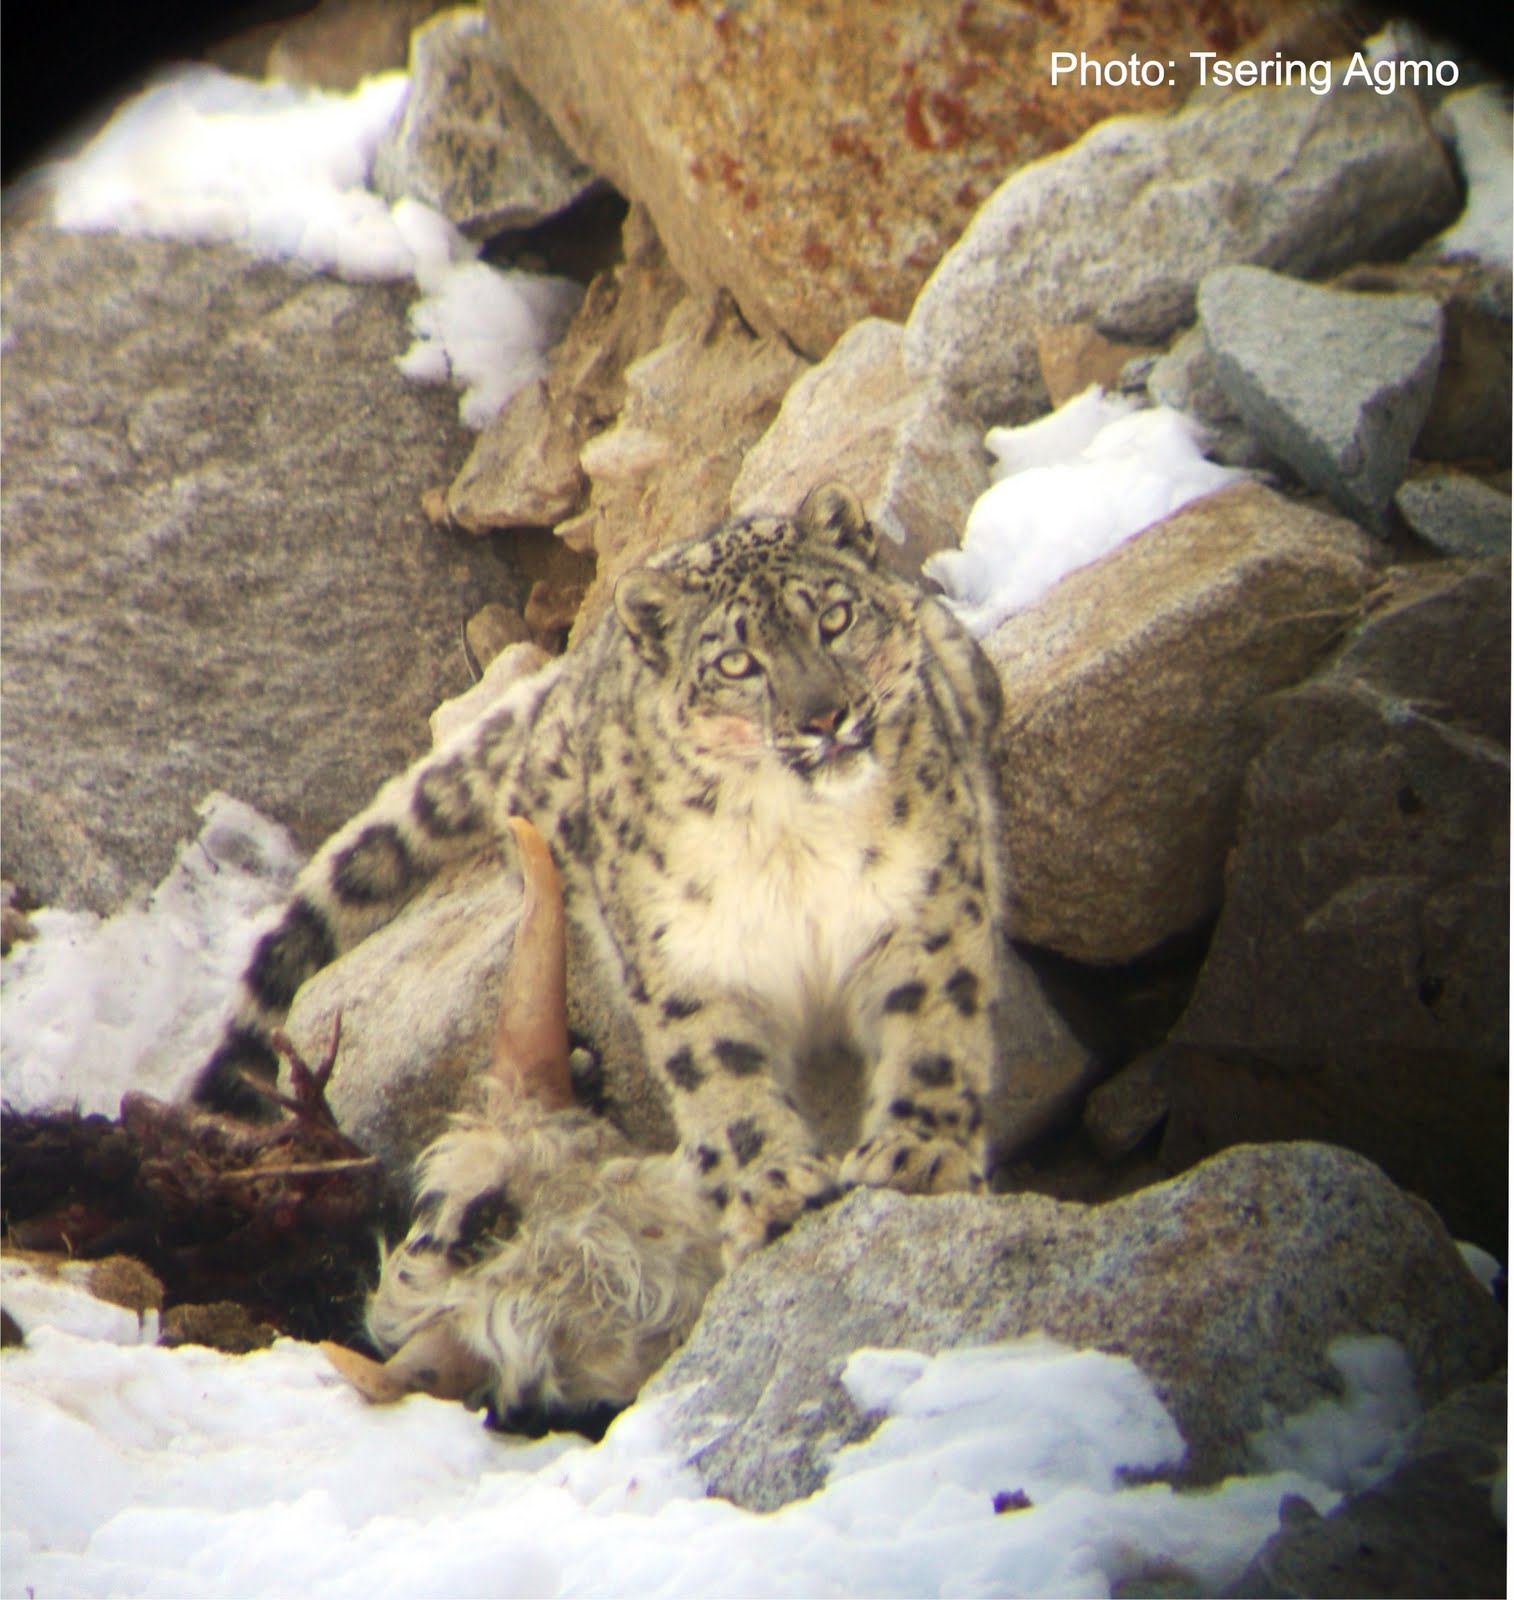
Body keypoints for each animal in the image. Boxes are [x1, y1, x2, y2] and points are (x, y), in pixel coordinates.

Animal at [195, 483, 1009, 1267]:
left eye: (836, 617)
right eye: (736, 663)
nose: (825, 717)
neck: (795, 839)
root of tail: (562, 676)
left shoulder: (927, 901)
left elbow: (933, 1030)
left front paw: (918, 1152)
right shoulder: (690, 958)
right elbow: (724, 1079)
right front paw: (774, 1188)